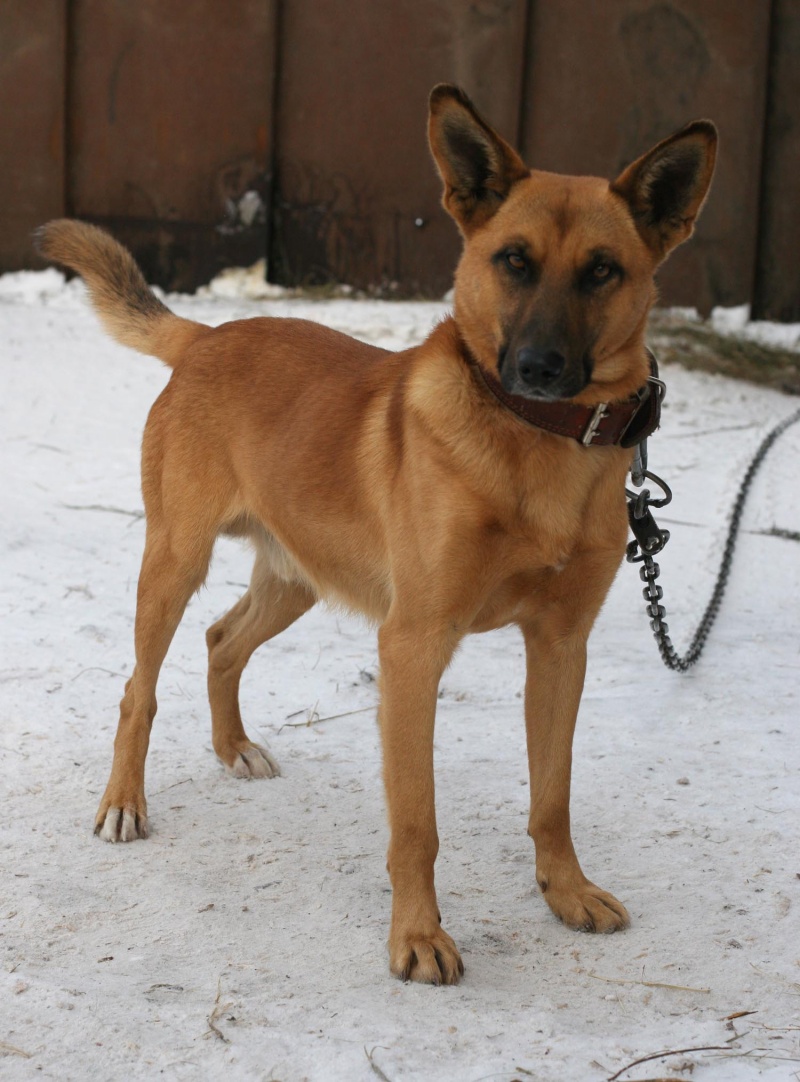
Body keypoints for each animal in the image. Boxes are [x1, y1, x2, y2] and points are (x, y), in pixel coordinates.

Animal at [37, 84, 716, 985]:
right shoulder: (413, 646)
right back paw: (123, 802)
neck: (532, 445)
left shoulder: (560, 648)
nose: (536, 369)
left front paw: (566, 892)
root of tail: (210, 337)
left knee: (221, 640)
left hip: (297, 578)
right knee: (137, 689)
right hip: (174, 562)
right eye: (513, 260)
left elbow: (553, 797)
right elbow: (417, 824)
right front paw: (418, 937)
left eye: (603, 270)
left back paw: (234, 747)